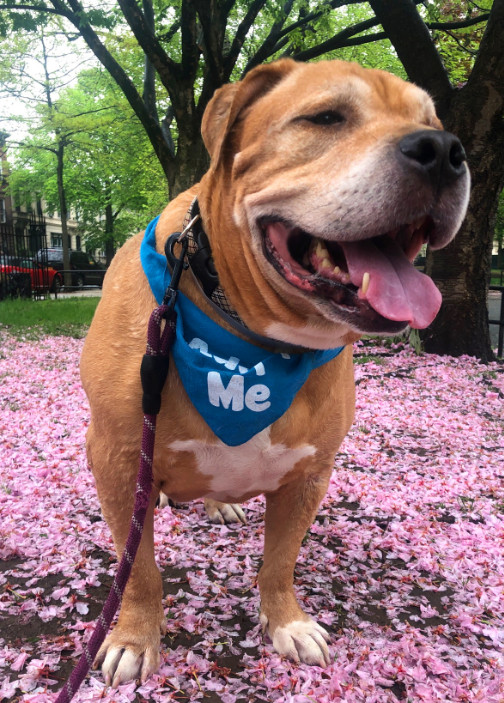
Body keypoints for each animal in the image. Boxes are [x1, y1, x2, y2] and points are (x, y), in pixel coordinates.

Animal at [79, 60, 468, 688]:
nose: (444, 150)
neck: (250, 340)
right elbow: (138, 568)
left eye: (433, 122)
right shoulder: (116, 457)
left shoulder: (308, 474)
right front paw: (134, 637)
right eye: (326, 117)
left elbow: (281, 559)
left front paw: (286, 621)